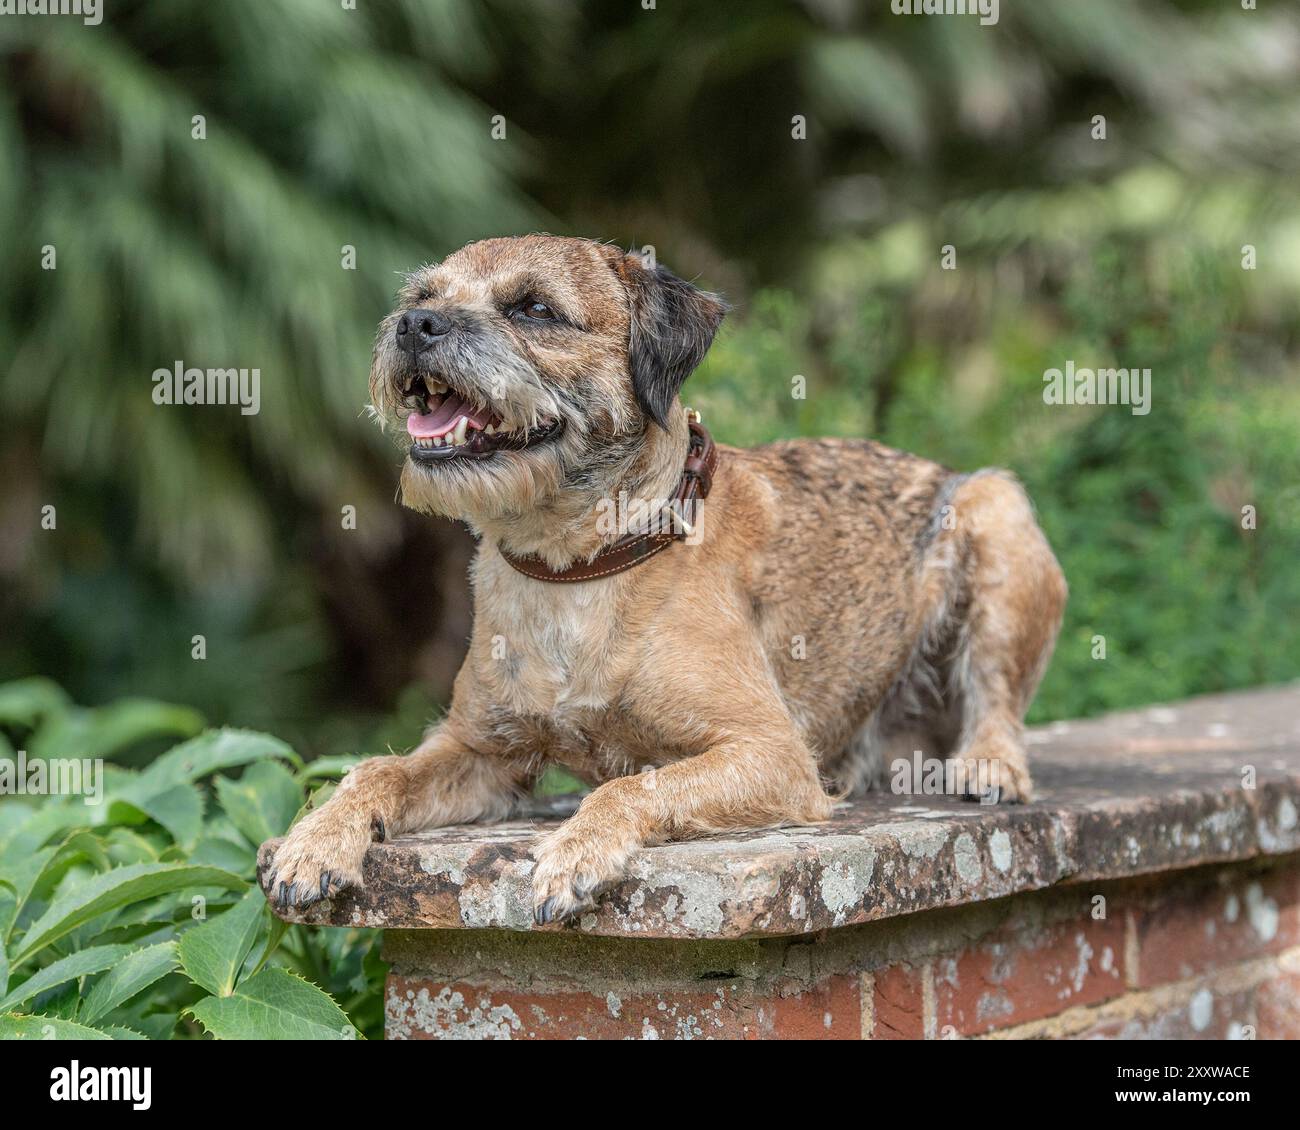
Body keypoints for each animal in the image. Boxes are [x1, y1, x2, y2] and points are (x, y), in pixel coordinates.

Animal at [263, 231, 1066, 925]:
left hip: (996, 512)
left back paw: (989, 764)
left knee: (997, 694)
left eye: (534, 309)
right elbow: (378, 770)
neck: (575, 565)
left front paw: (577, 852)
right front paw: (315, 839)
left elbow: (634, 781)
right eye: (424, 294)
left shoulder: (770, 754)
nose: (414, 323)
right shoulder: (482, 753)